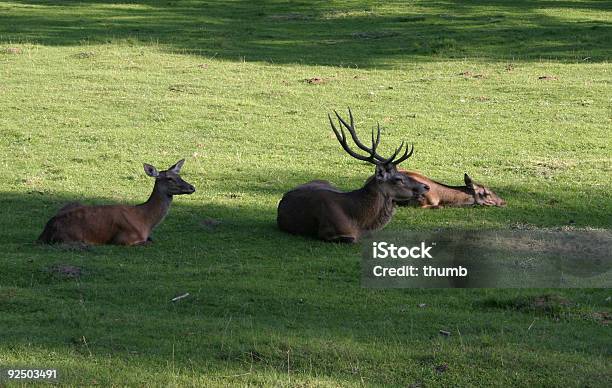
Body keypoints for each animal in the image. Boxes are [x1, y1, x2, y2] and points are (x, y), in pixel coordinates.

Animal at [37, 160, 195, 246]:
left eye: (179, 175)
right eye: (169, 178)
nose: (192, 187)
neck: (145, 221)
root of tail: (45, 232)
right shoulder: (124, 239)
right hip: (74, 238)